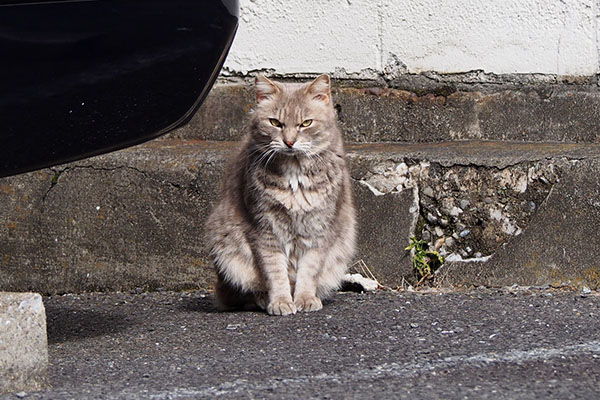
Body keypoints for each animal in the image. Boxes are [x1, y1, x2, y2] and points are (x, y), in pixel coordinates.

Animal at [206, 75, 356, 316]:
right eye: (275, 123)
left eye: (306, 123)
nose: (289, 141)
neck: (294, 176)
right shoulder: (264, 229)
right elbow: (275, 272)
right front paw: (281, 302)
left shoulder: (319, 229)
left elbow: (309, 270)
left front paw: (305, 299)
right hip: (225, 247)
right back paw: (262, 299)